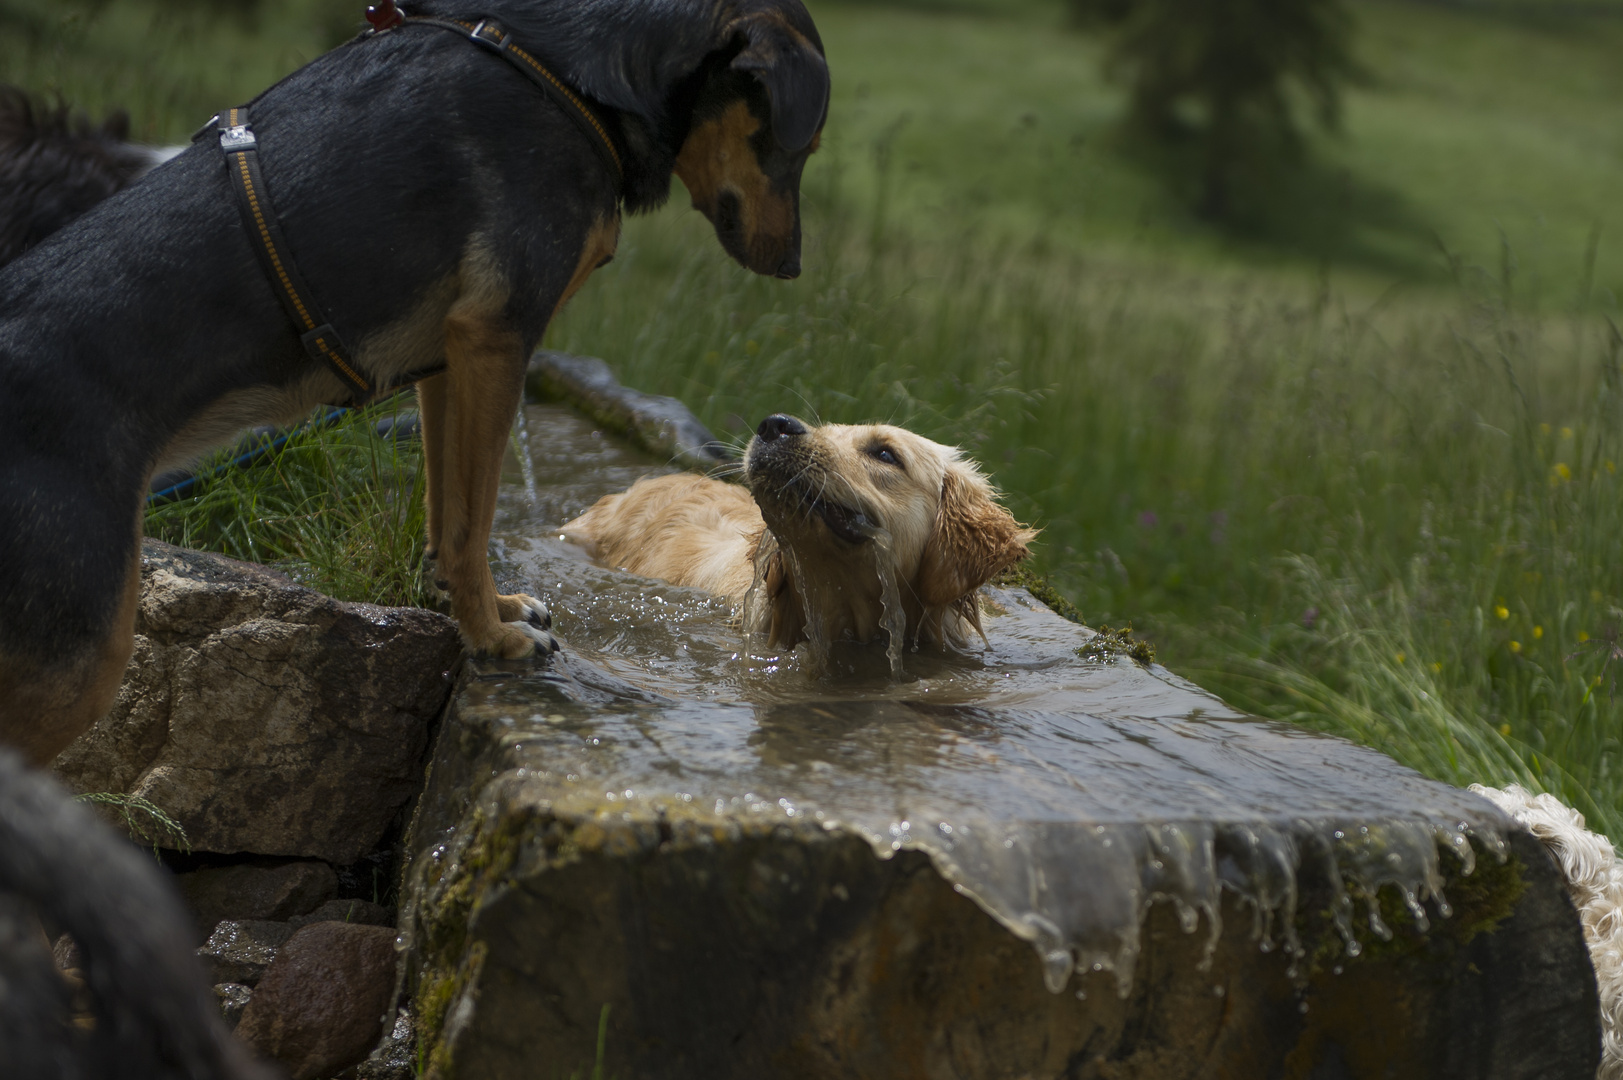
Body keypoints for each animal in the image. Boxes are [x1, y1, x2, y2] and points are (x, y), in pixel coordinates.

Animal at [0, 2, 830, 756]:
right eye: (800, 143)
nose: (794, 265)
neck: (574, 73)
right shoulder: (498, 339)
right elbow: (474, 522)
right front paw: (494, 638)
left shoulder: (446, 360)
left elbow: (448, 510)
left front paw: (485, 608)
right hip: (83, 657)